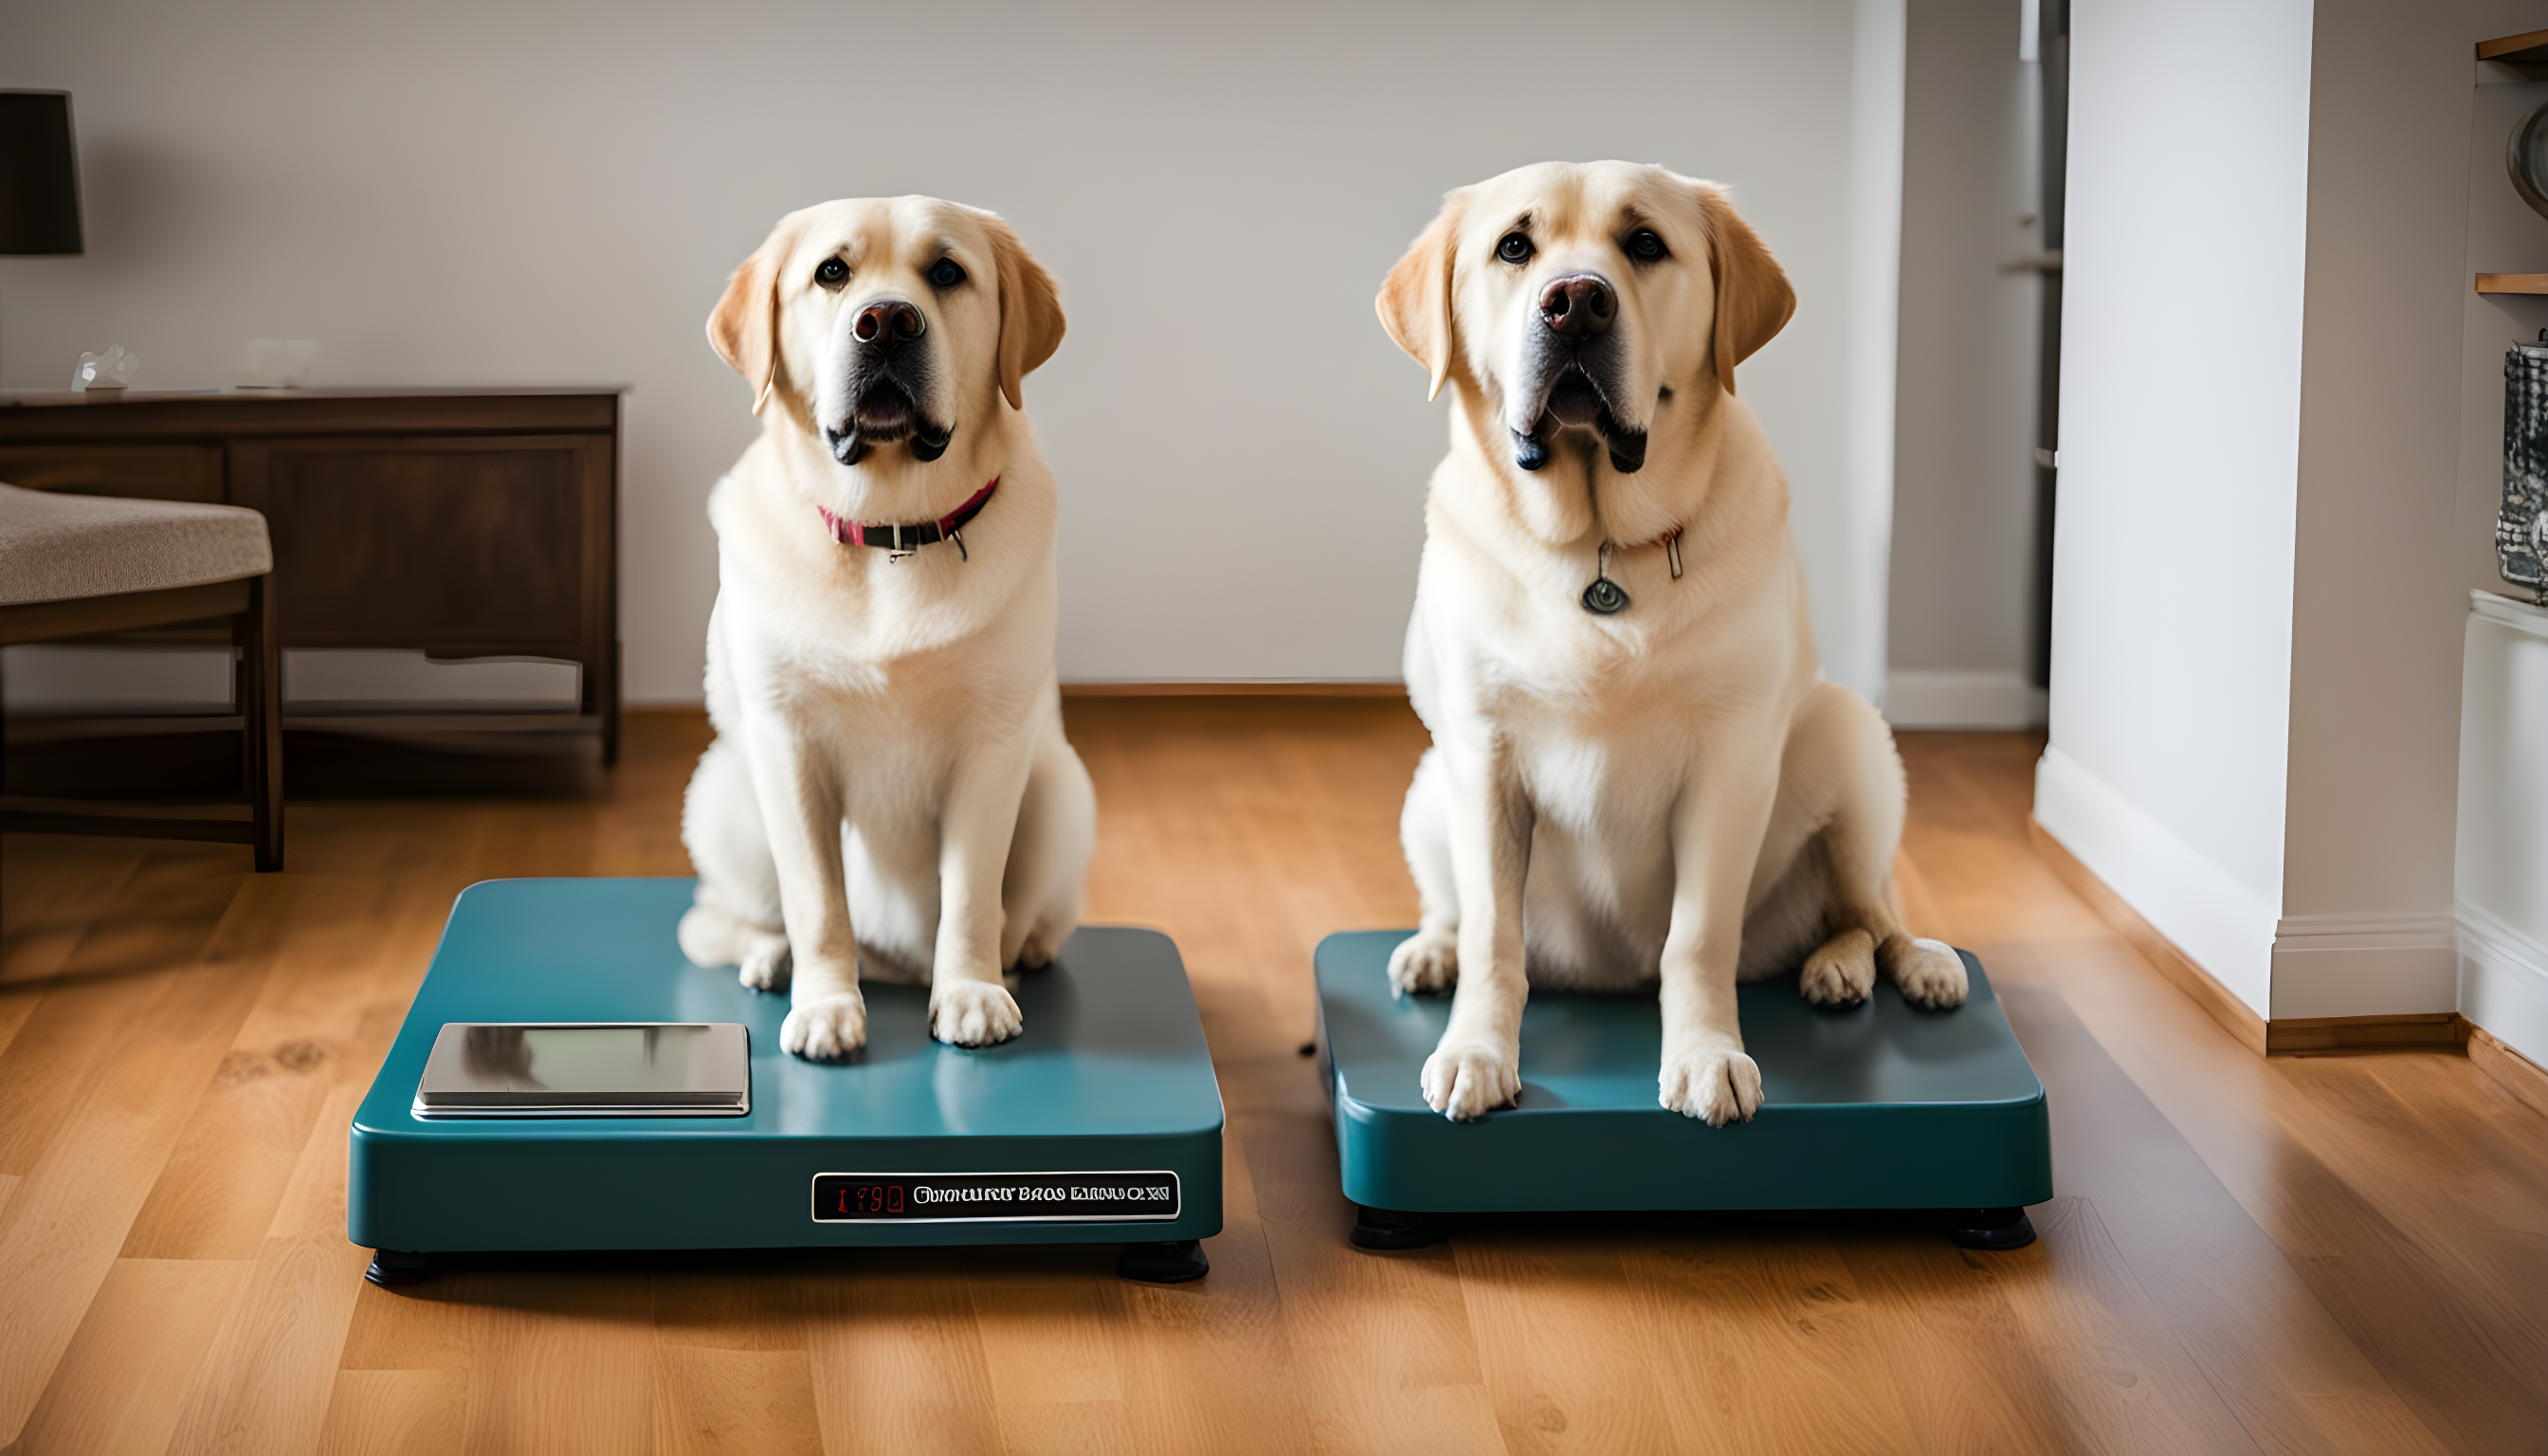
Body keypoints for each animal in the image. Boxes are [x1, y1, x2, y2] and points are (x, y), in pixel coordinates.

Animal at [672, 196, 1090, 1061]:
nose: (887, 322)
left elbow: (972, 897)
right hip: (726, 794)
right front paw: (826, 1006)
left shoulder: (993, 748)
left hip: (1059, 787)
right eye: (832, 272)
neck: (892, 533)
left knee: (1025, 914)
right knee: (713, 923)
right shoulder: (788, 747)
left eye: (947, 272)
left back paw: (1021, 954)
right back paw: (770, 958)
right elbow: (817, 905)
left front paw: (970, 993)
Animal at [1375, 168, 1967, 1126]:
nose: (1576, 303)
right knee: (1457, 910)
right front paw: (1475, 1050)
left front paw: (1706, 1056)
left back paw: (1879, 964)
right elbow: (1496, 935)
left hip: (1847, 740)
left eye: (1646, 244)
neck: (1598, 552)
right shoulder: (1483, 755)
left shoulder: (1729, 764)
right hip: (1431, 788)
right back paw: (1433, 948)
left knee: (1868, 908)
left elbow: (1696, 941)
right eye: (1514, 247)